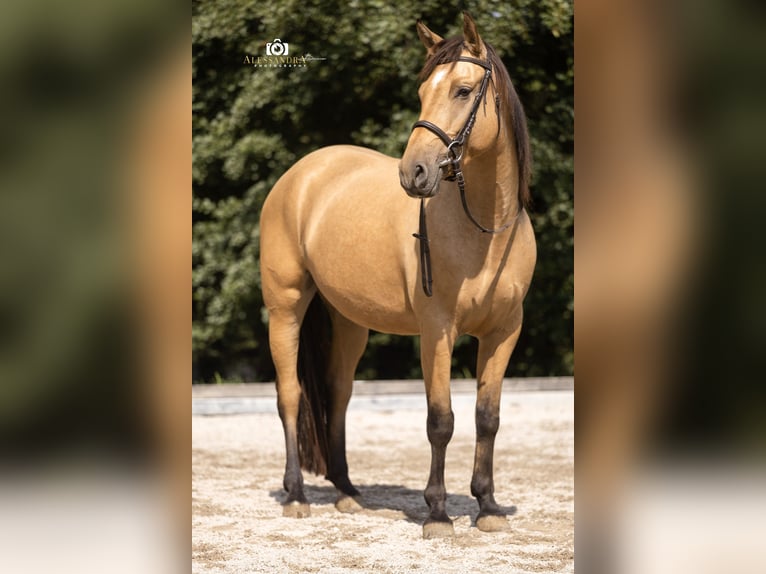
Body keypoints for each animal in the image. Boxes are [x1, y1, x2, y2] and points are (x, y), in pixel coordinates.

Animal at [260, 12, 535, 539]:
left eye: (463, 91)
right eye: (423, 90)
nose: (414, 173)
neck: (484, 230)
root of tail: (301, 174)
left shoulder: (504, 333)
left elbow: (487, 417)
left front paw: (487, 506)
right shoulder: (437, 331)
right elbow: (441, 420)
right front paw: (438, 514)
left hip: (349, 323)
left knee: (338, 395)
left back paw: (347, 492)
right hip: (285, 308)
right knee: (289, 396)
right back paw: (297, 496)